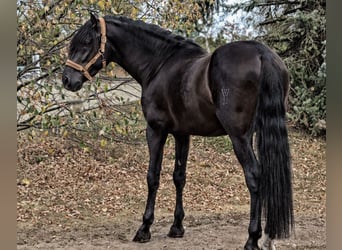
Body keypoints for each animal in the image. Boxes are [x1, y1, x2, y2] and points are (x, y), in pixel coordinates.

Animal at [62, 14, 292, 250]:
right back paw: (268, 238)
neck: (159, 64)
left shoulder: (156, 130)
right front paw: (177, 227)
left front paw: (144, 228)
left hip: (240, 137)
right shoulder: (182, 134)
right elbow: (179, 177)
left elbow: (153, 177)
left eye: (87, 42)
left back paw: (252, 239)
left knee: (254, 176)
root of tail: (262, 54)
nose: (67, 80)